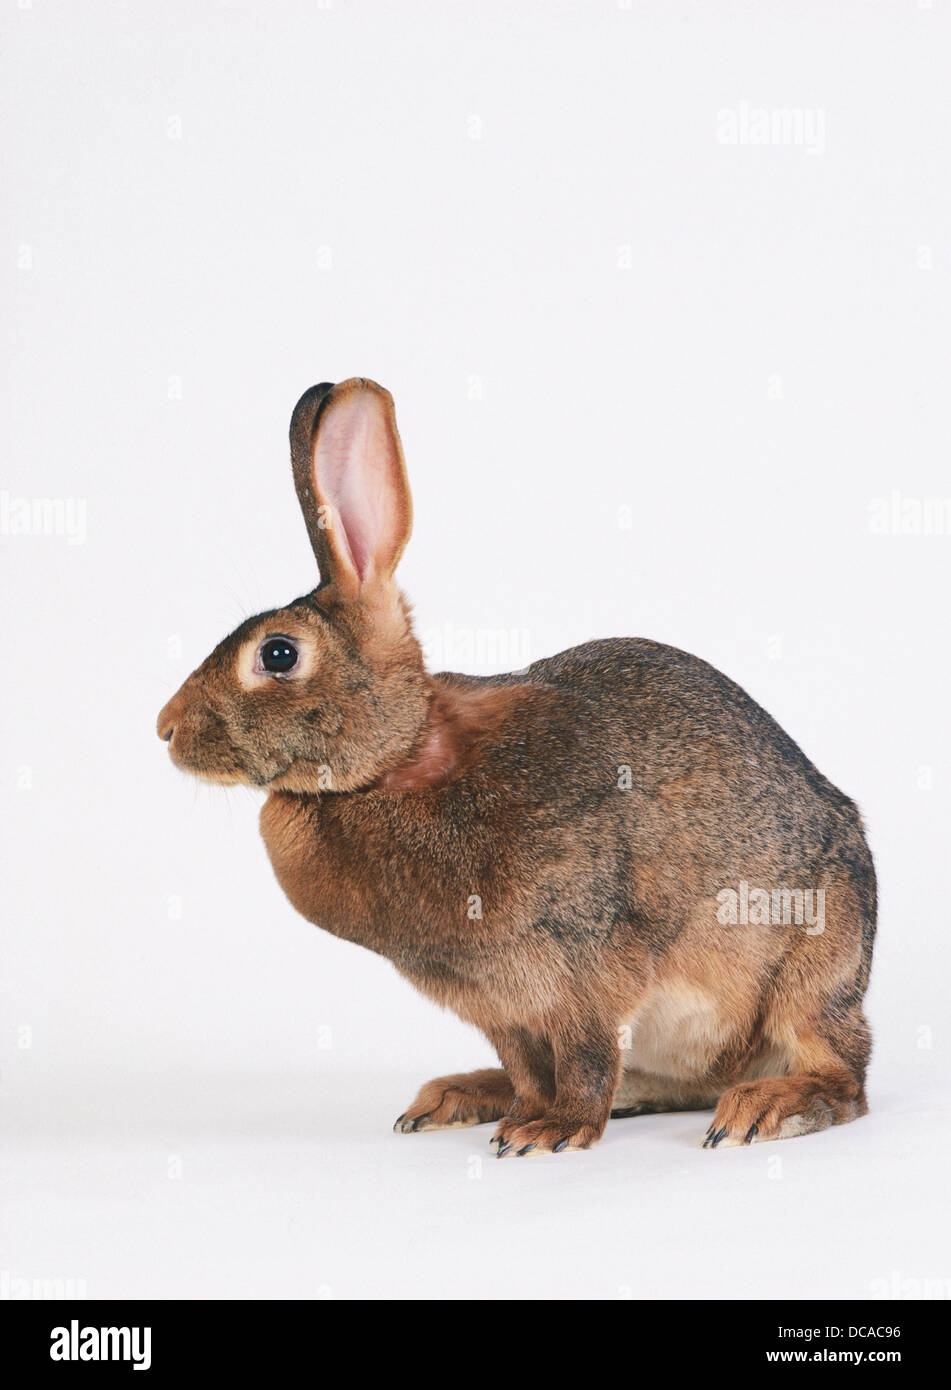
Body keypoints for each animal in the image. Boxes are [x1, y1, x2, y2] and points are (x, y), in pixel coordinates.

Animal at [157, 378, 876, 1157]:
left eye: (278, 654)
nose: (164, 729)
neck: (400, 759)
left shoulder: (584, 970)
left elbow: (585, 1059)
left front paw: (551, 1133)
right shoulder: (498, 1007)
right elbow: (531, 1067)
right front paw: (522, 1116)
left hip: (814, 963)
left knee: (842, 1076)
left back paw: (763, 1108)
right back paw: (458, 1095)